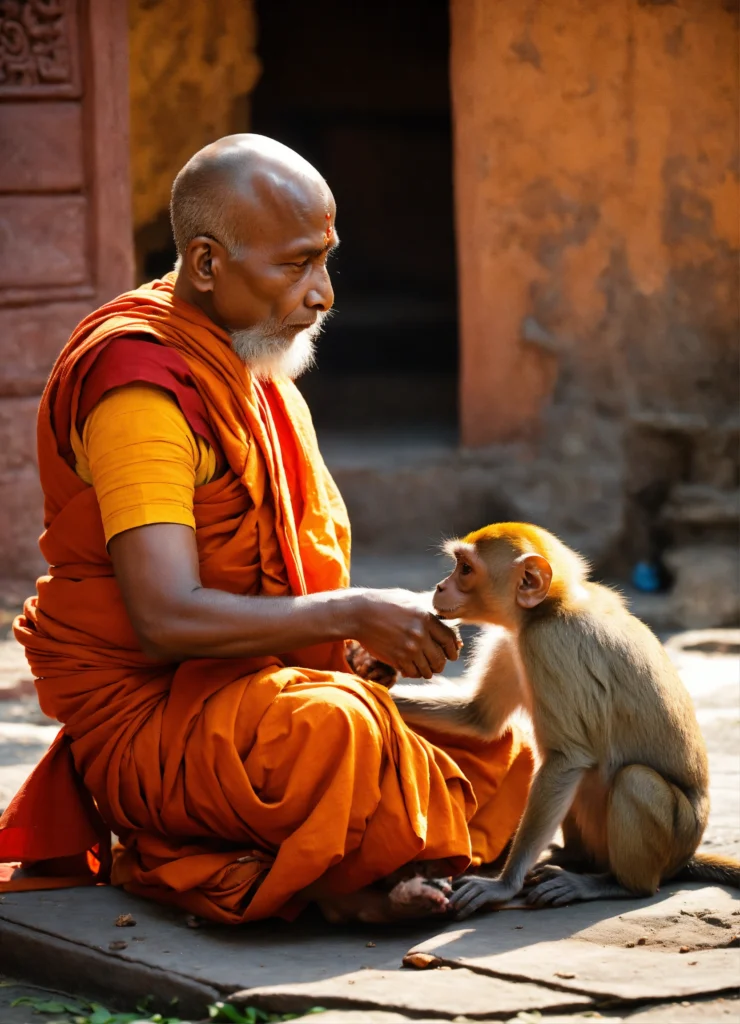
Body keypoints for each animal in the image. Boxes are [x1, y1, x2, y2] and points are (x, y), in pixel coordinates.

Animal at [390, 520, 736, 921]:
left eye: (465, 570)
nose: (440, 587)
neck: (549, 608)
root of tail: (685, 856)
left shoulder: (546, 643)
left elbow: (567, 758)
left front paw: (502, 886)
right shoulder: (512, 641)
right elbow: (477, 716)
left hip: (675, 838)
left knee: (635, 781)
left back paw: (612, 884)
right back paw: (572, 857)